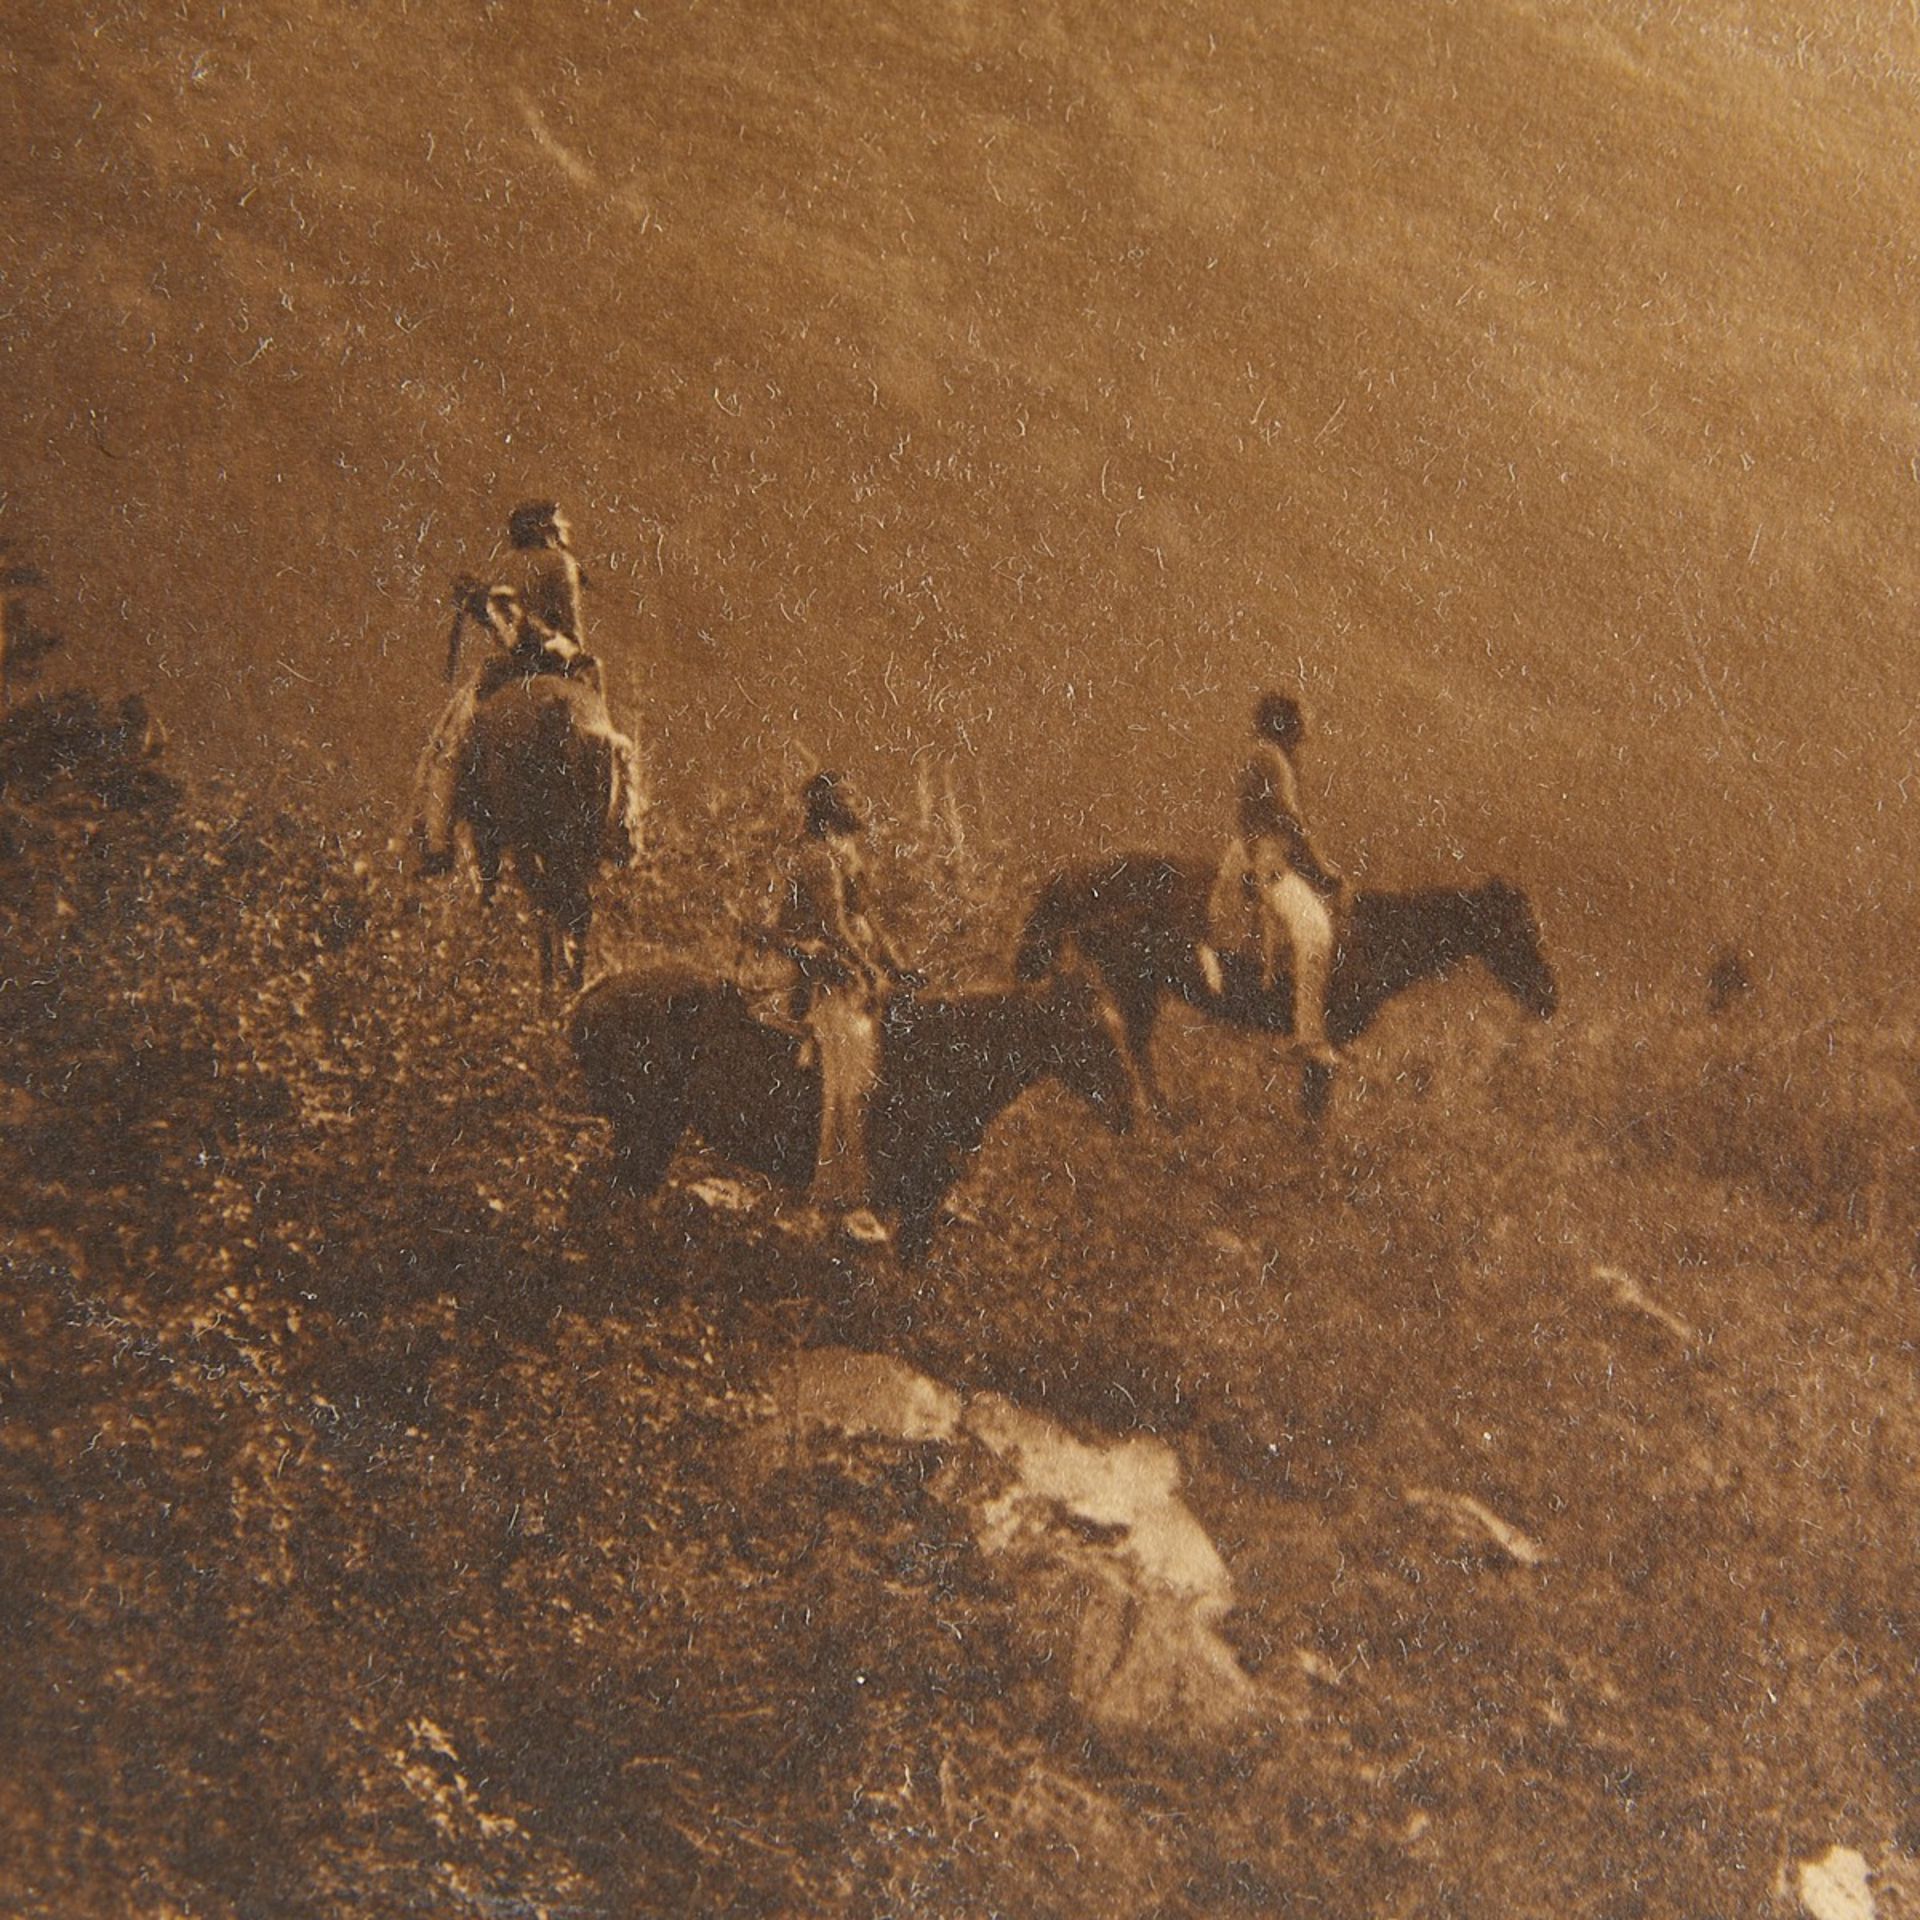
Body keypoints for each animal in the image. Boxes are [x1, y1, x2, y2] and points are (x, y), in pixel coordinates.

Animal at [453, 675, 648, 990]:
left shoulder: (490, 836)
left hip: (530, 840)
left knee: (549, 902)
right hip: (577, 842)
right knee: (574, 906)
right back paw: (572, 980)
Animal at [568, 960, 1136, 1259]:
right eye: (1090, 1030)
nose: (1131, 1111)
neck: (940, 1057)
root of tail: (593, 994)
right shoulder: (919, 1200)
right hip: (645, 1131)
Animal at [1013, 852, 1551, 1121]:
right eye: (1519, 931)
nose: (1550, 999)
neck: (1374, 935)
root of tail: (1079, 877)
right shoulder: (1323, 1042)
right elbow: (1314, 1110)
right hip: (1133, 986)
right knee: (1137, 1048)